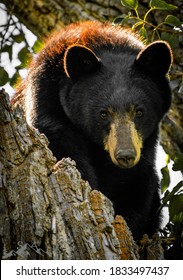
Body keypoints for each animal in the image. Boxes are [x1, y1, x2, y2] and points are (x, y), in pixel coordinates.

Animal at [12, 21, 172, 241]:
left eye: (139, 111)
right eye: (103, 114)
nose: (125, 155)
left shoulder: (144, 145)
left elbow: (138, 184)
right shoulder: (44, 101)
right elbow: (63, 150)